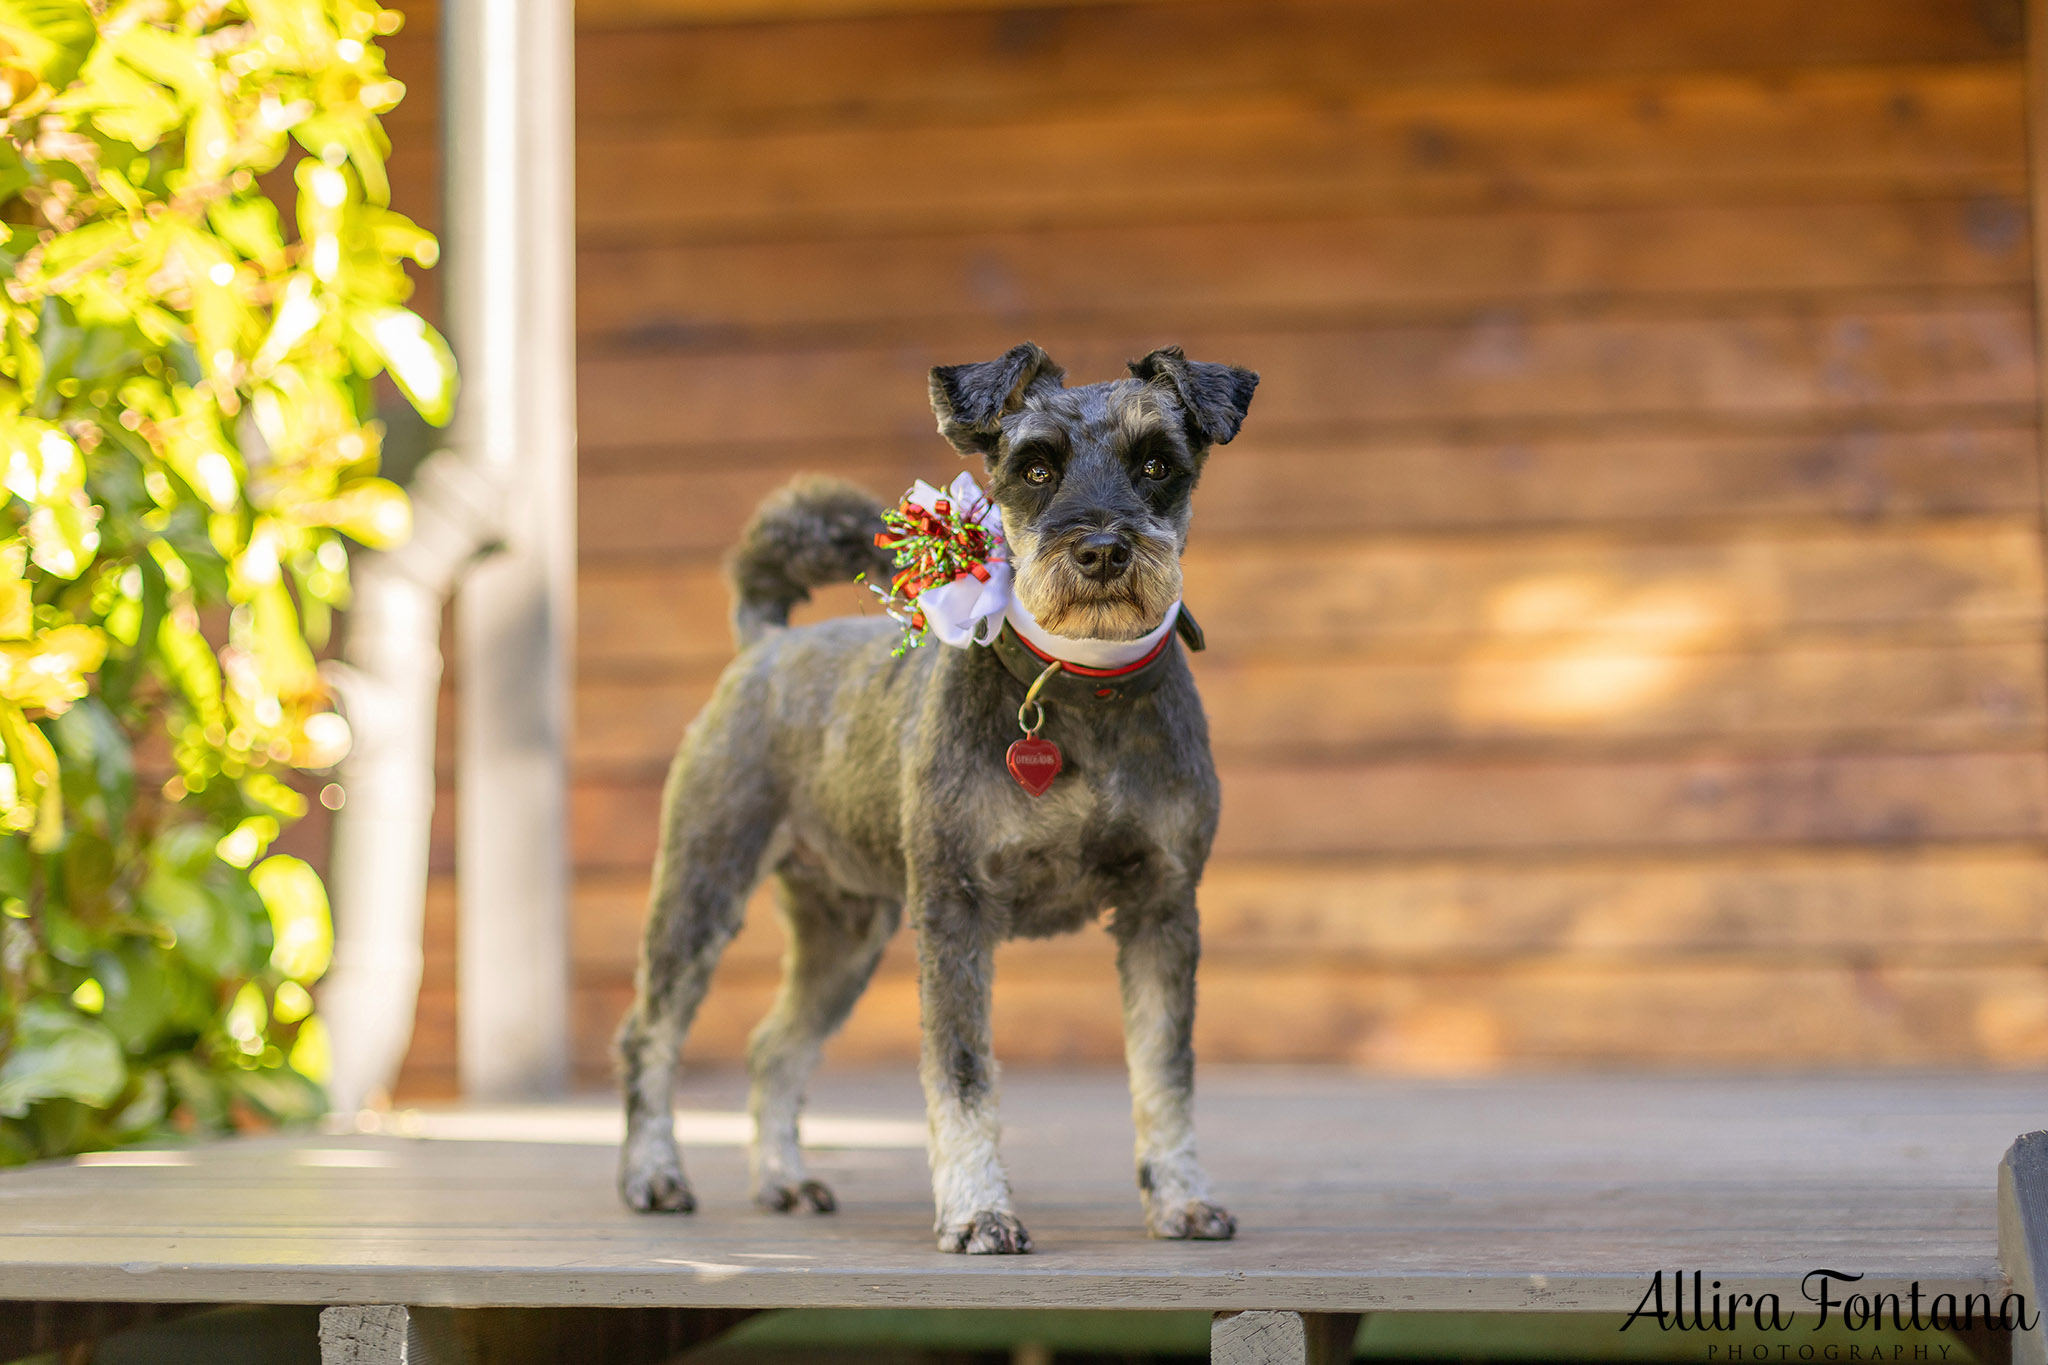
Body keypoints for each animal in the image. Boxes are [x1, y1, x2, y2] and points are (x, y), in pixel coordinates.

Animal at [610, 343, 1245, 1260]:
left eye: (1158, 463)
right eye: (1035, 467)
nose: (1100, 550)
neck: (1077, 687)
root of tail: (766, 645)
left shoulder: (1162, 907)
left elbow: (1166, 1069)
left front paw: (1184, 1199)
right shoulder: (955, 908)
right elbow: (962, 1070)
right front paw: (978, 1212)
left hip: (845, 933)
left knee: (774, 1049)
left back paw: (784, 1180)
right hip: (702, 891)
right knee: (650, 1034)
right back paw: (653, 1175)